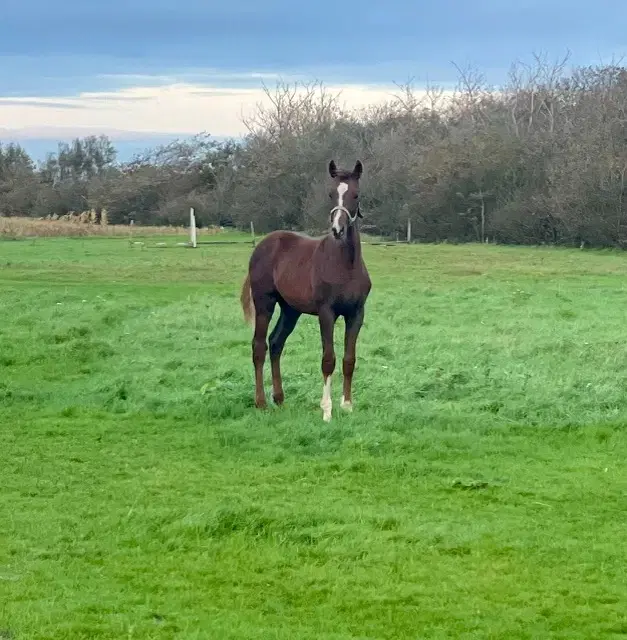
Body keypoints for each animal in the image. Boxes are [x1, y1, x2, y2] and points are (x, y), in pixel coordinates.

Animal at [238, 158, 370, 422]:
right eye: (331, 194)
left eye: (356, 195)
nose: (337, 230)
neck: (345, 264)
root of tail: (263, 245)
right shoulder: (327, 313)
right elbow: (328, 359)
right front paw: (327, 410)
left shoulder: (356, 314)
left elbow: (349, 359)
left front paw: (347, 406)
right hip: (264, 302)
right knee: (259, 346)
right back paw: (261, 403)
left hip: (291, 309)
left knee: (276, 342)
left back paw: (279, 399)